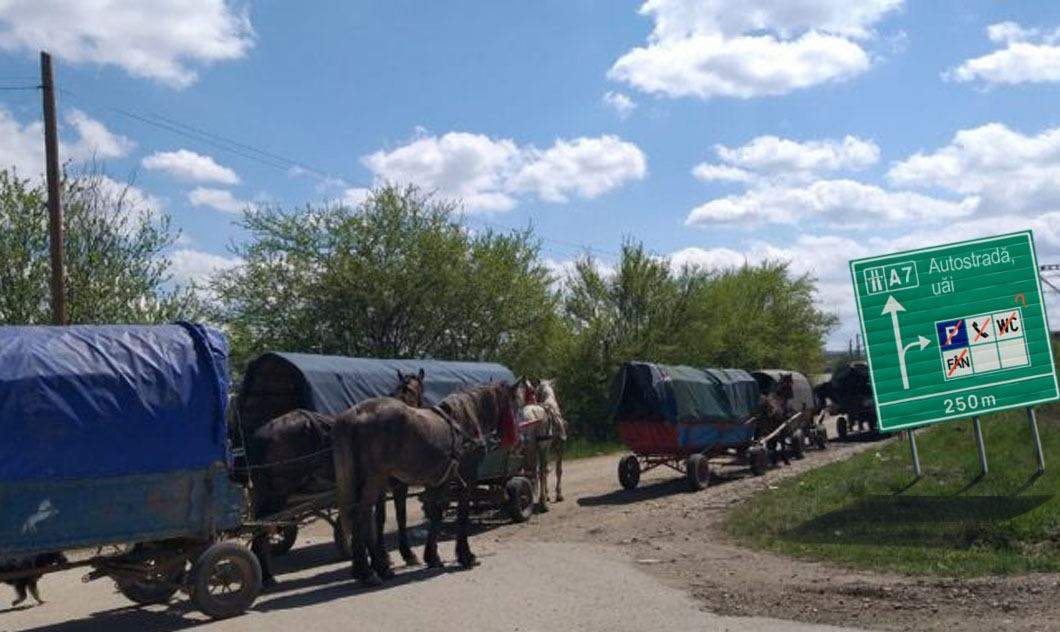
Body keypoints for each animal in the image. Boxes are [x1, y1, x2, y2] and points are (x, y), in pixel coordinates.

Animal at [248, 366, 426, 585]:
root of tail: (258, 436)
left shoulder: (378, 487)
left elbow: (375, 521)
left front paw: (381, 560)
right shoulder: (397, 485)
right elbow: (396, 518)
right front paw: (403, 555)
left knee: (260, 527)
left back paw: (265, 575)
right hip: (276, 495)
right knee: (262, 527)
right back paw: (265, 576)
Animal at [330, 379, 513, 589]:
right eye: (513, 401)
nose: (510, 438)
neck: (463, 421)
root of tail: (355, 413)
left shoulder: (438, 480)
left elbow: (436, 512)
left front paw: (432, 557)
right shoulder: (466, 478)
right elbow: (461, 514)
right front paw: (465, 556)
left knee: (361, 517)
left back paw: (371, 569)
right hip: (374, 481)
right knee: (362, 516)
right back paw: (370, 573)